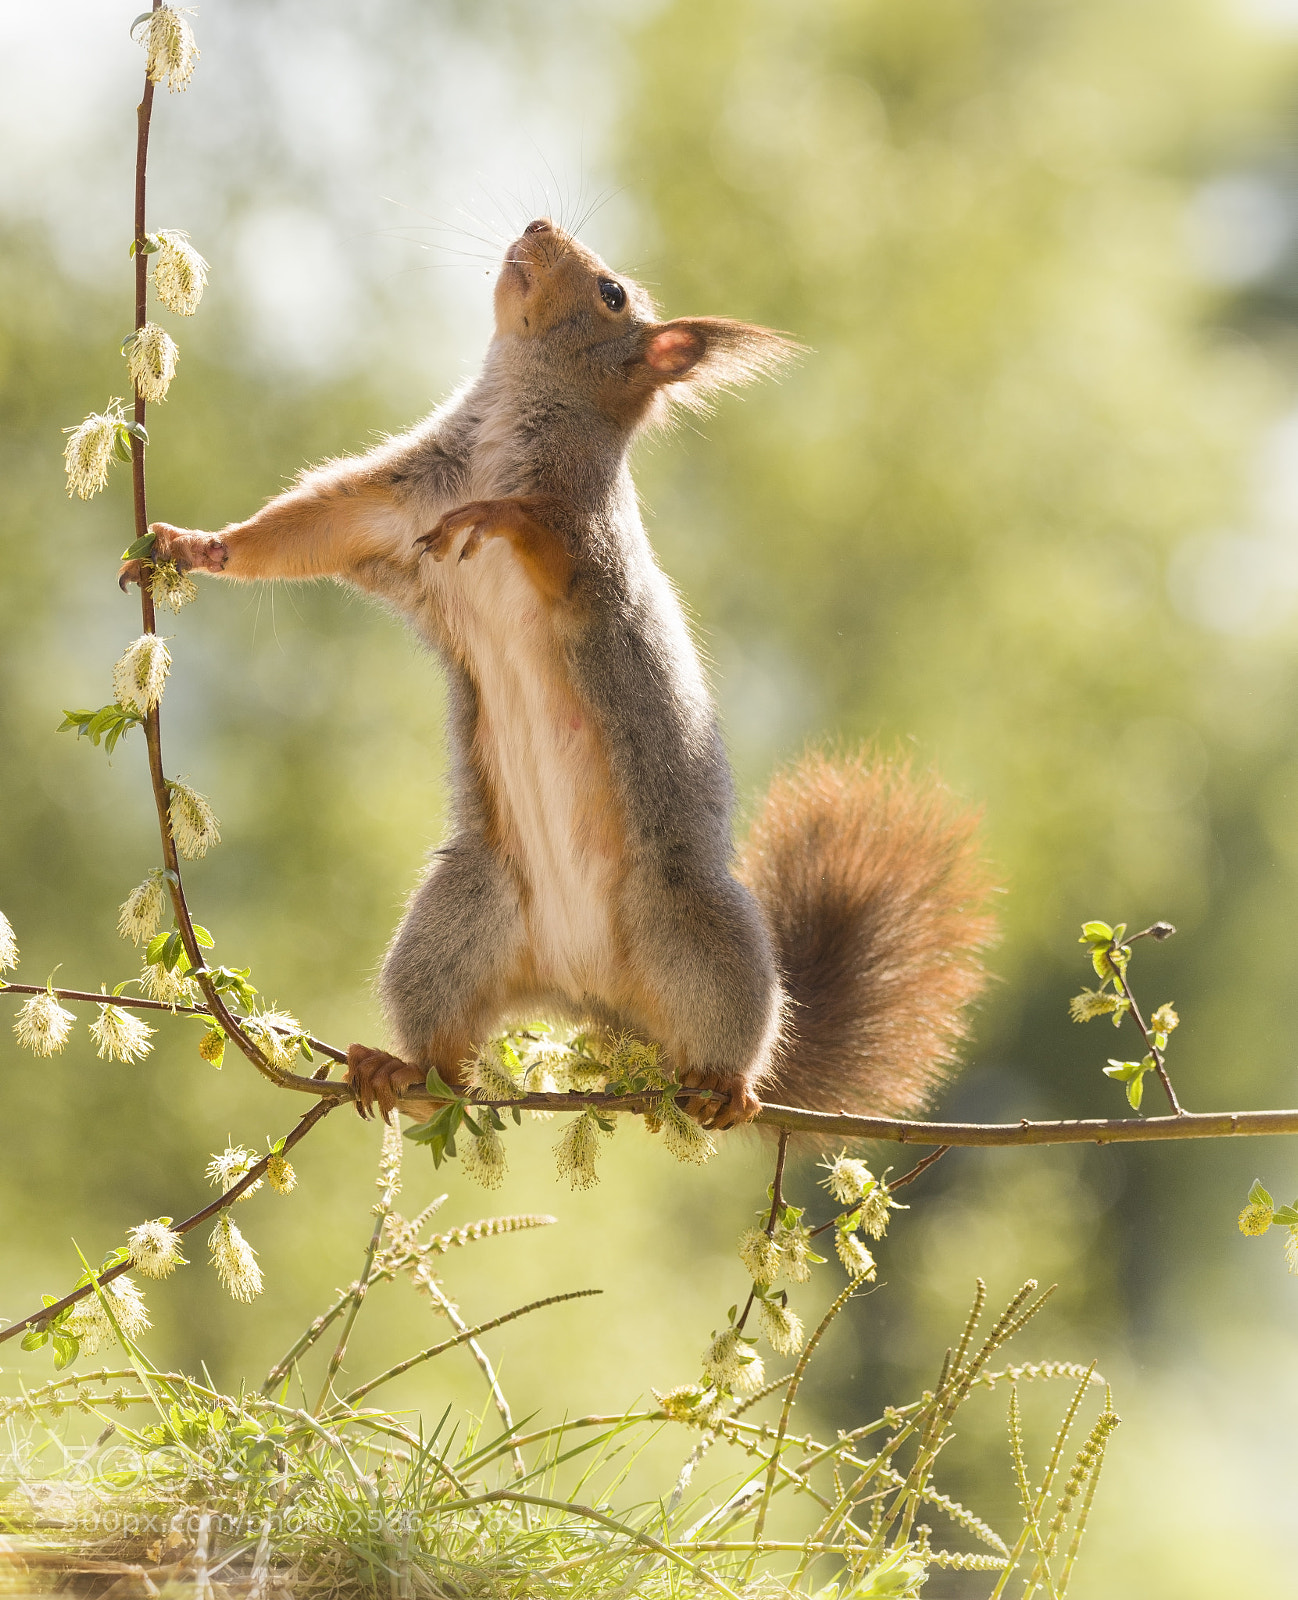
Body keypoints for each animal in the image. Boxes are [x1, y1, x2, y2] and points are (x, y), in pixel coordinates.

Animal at [122, 218, 995, 1130]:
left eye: (612, 294)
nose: (539, 225)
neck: (508, 422)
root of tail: (586, 993)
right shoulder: (392, 509)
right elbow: (304, 528)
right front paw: (192, 546)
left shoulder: (586, 543)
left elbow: (549, 543)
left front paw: (498, 517)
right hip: (457, 923)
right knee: (448, 1061)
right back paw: (399, 1071)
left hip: (696, 925)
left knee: (731, 1030)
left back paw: (731, 1088)